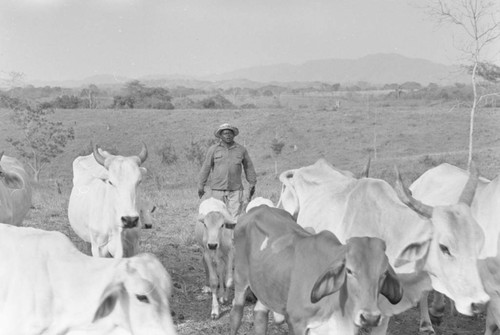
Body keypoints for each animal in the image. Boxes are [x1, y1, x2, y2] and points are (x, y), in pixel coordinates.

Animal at [230, 207, 402, 335]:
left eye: (383, 273)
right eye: (349, 270)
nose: (370, 318)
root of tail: (258, 209)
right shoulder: (296, 322)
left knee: (260, 312)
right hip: (240, 277)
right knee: (236, 314)